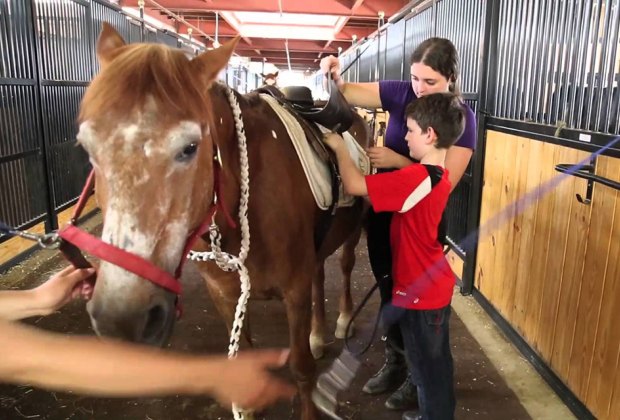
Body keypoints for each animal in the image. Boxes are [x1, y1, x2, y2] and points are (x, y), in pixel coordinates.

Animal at [77, 24, 368, 418]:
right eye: (87, 147)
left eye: (190, 147)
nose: (120, 318)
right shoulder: (226, 295)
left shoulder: (294, 290)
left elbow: (302, 370)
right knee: (320, 274)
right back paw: (318, 335)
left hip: (353, 232)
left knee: (346, 265)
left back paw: (341, 321)